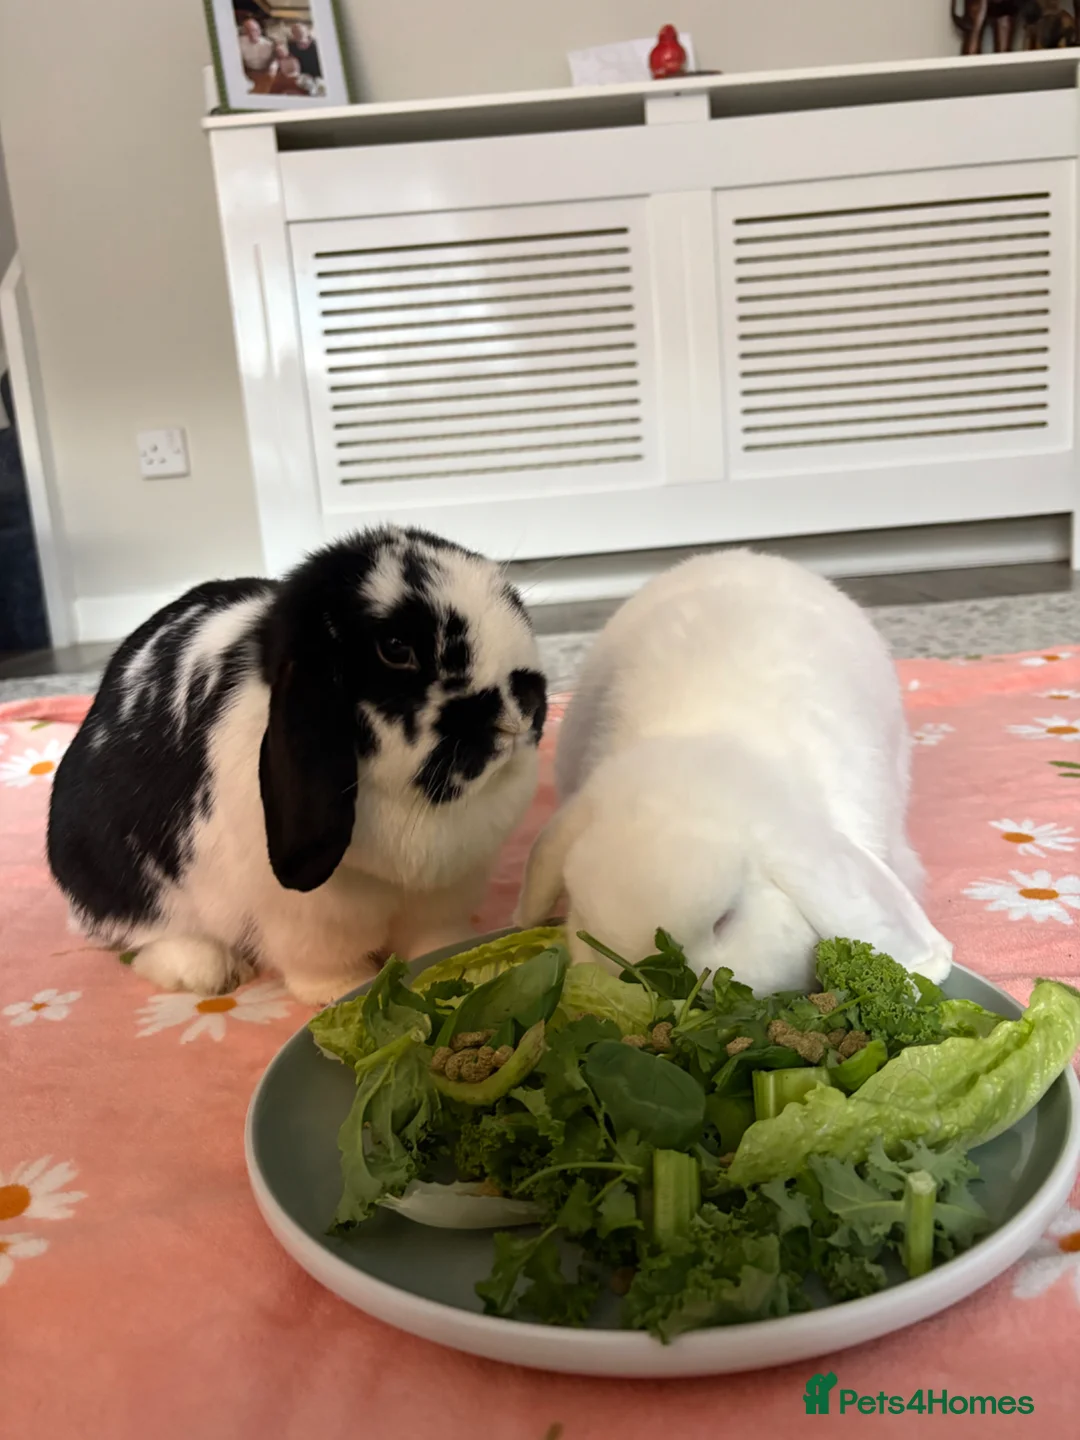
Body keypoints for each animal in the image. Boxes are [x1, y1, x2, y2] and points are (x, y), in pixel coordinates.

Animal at [47, 526, 548, 1006]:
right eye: (395, 648)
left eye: (512, 600)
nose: (524, 703)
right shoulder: (305, 918)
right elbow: (323, 964)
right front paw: (342, 993)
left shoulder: (443, 896)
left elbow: (436, 940)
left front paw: (454, 961)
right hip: (115, 877)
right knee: (140, 935)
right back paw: (212, 971)